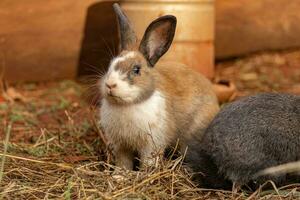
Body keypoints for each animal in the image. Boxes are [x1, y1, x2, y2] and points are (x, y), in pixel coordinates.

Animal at [99, 3, 219, 170]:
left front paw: (145, 173)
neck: (127, 105)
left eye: (136, 70)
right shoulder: (121, 146)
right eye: (111, 64)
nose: (110, 85)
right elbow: (124, 162)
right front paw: (120, 174)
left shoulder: (152, 144)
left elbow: (148, 161)